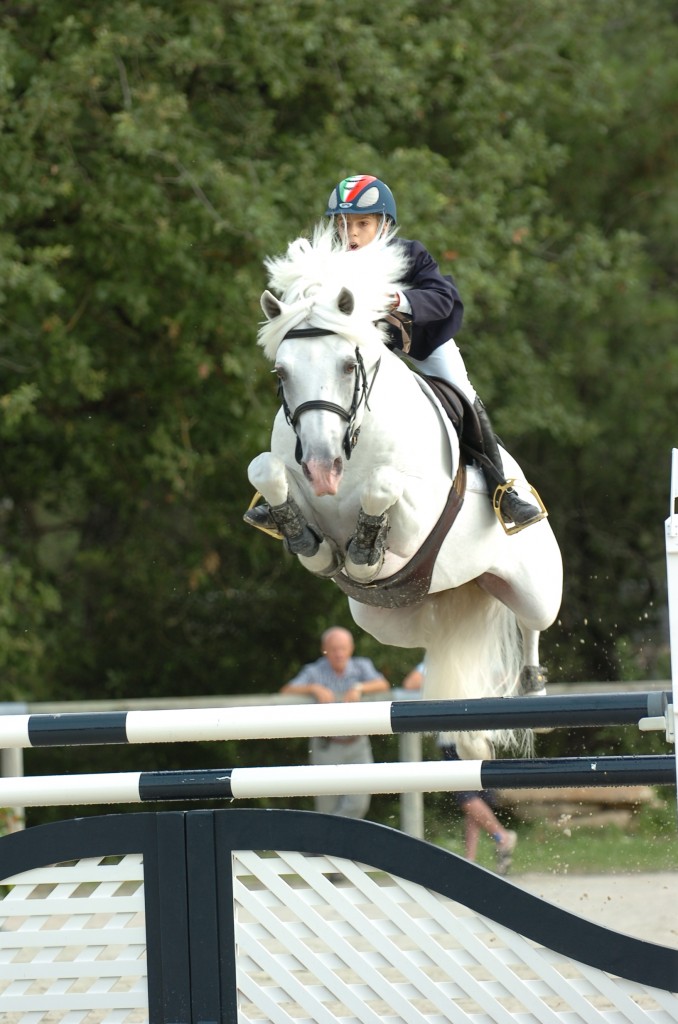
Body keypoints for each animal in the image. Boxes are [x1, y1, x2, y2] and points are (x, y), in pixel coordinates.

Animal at [248, 220, 561, 757]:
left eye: (347, 365)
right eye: (281, 373)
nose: (321, 468)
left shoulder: (419, 516)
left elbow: (383, 486)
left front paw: (361, 551)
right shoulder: (285, 473)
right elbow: (265, 472)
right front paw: (311, 543)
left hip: (536, 586)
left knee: (533, 626)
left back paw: (536, 698)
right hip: (386, 619)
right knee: (433, 640)